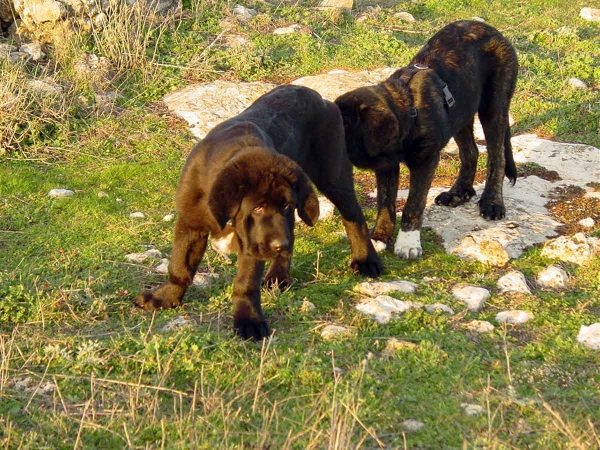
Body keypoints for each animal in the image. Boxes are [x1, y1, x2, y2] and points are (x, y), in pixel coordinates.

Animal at [135, 84, 380, 342]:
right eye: (258, 207)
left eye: (285, 205)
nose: (279, 245)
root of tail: (320, 97)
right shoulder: (191, 223)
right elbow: (180, 266)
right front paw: (165, 298)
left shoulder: (253, 242)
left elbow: (246, 283)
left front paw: (248, 320)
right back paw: (278, 277)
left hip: (333, 174)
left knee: (354, 218)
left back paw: (365, 260)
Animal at [336, 21, 516, 258]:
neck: (408, 112)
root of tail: (492, 29)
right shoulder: (386, 166)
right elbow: (385, 203)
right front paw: (378, 237)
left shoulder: (425, 162)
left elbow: (413, 204)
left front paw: (407, 243)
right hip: (461, 113)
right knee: (471, 152)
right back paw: (458, 193)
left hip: (493, 106)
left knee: (497, 156)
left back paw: (492, 203)